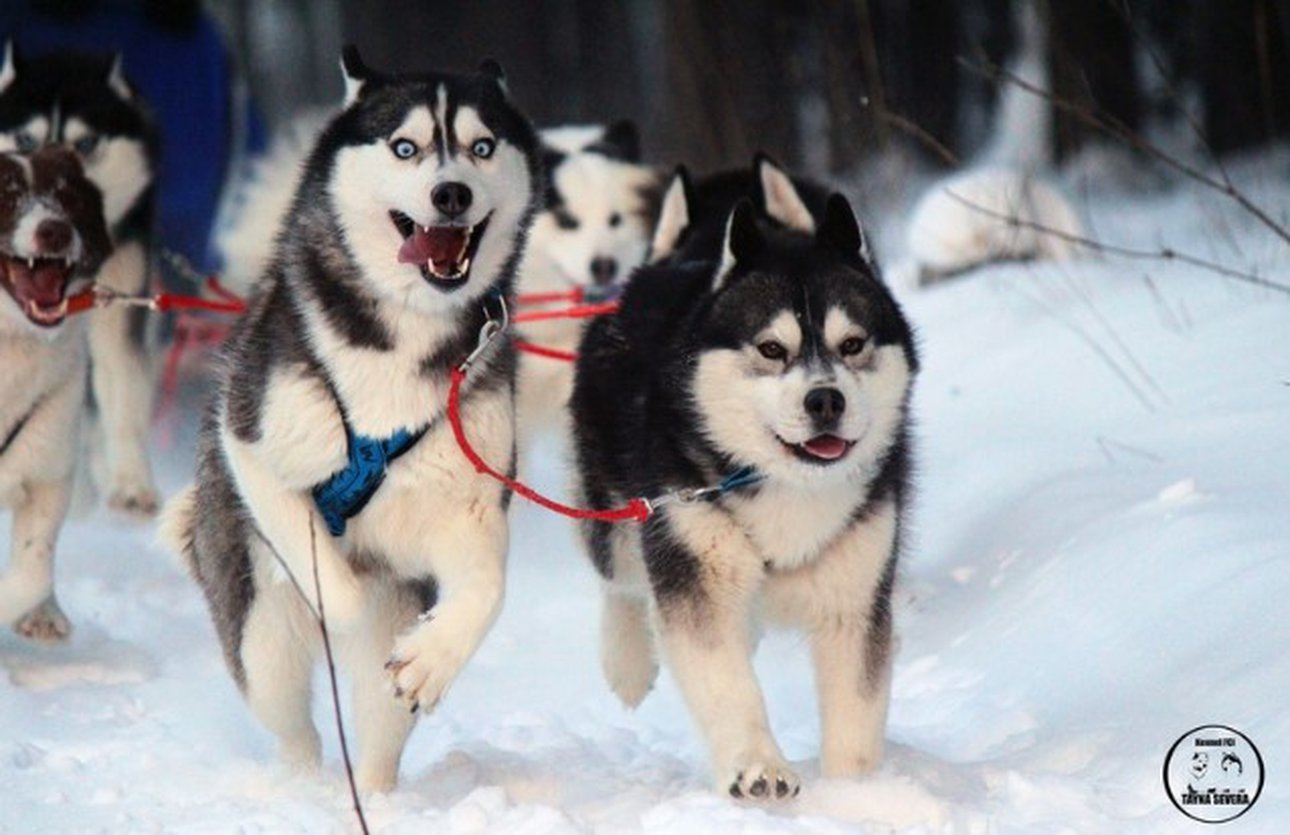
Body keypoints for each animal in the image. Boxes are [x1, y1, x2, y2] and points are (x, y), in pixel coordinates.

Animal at [159, 49, 539, 794]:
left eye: (481, 147)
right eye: (405, 147)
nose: (452, 193)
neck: (402, 331)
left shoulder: (469, 500)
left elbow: (486, 588)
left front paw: (435, 654)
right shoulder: (251, 440)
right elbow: (330, 577)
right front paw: (342, 591)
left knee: (376, 735)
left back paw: (377, 795)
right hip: (261, 642)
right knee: (297, 728)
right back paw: (302, 783)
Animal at [572, 174, 918, 794]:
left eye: (852, 345)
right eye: (772, 349)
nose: (825, 400)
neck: (789, 484)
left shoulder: (854, 599)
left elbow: (856, 708)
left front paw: (855, 794)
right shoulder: (694, 570)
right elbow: (727, 682)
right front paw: (758, 764)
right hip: (627, 515)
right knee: (621, 576)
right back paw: (627, 660)